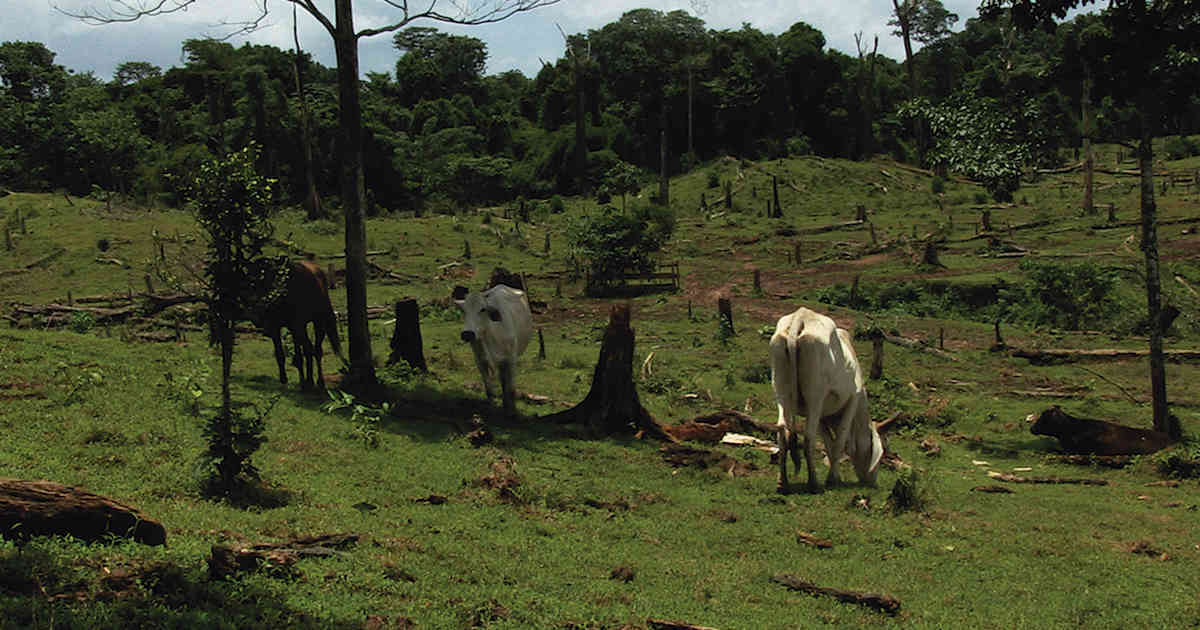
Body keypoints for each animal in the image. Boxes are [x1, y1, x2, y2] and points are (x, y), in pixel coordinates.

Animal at [451, 283, 532, 412]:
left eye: (483, 309)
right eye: (463, 310)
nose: (467, 334)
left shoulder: (511, 359)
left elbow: (511, 389)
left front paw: (512, 411)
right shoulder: (480, 361)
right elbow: (489, 389)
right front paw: (492, 408)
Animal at [768, 307, 883, 494]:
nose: (871, 481)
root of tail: (801, 316)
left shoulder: (822, 414)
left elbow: (829, 444)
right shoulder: (852, 400)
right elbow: (839, 443)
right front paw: (832, 479)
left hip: (781, 391)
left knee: (782, 430)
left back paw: (782, 483)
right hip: (815, 396)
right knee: (808, 436)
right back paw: (813, 483)